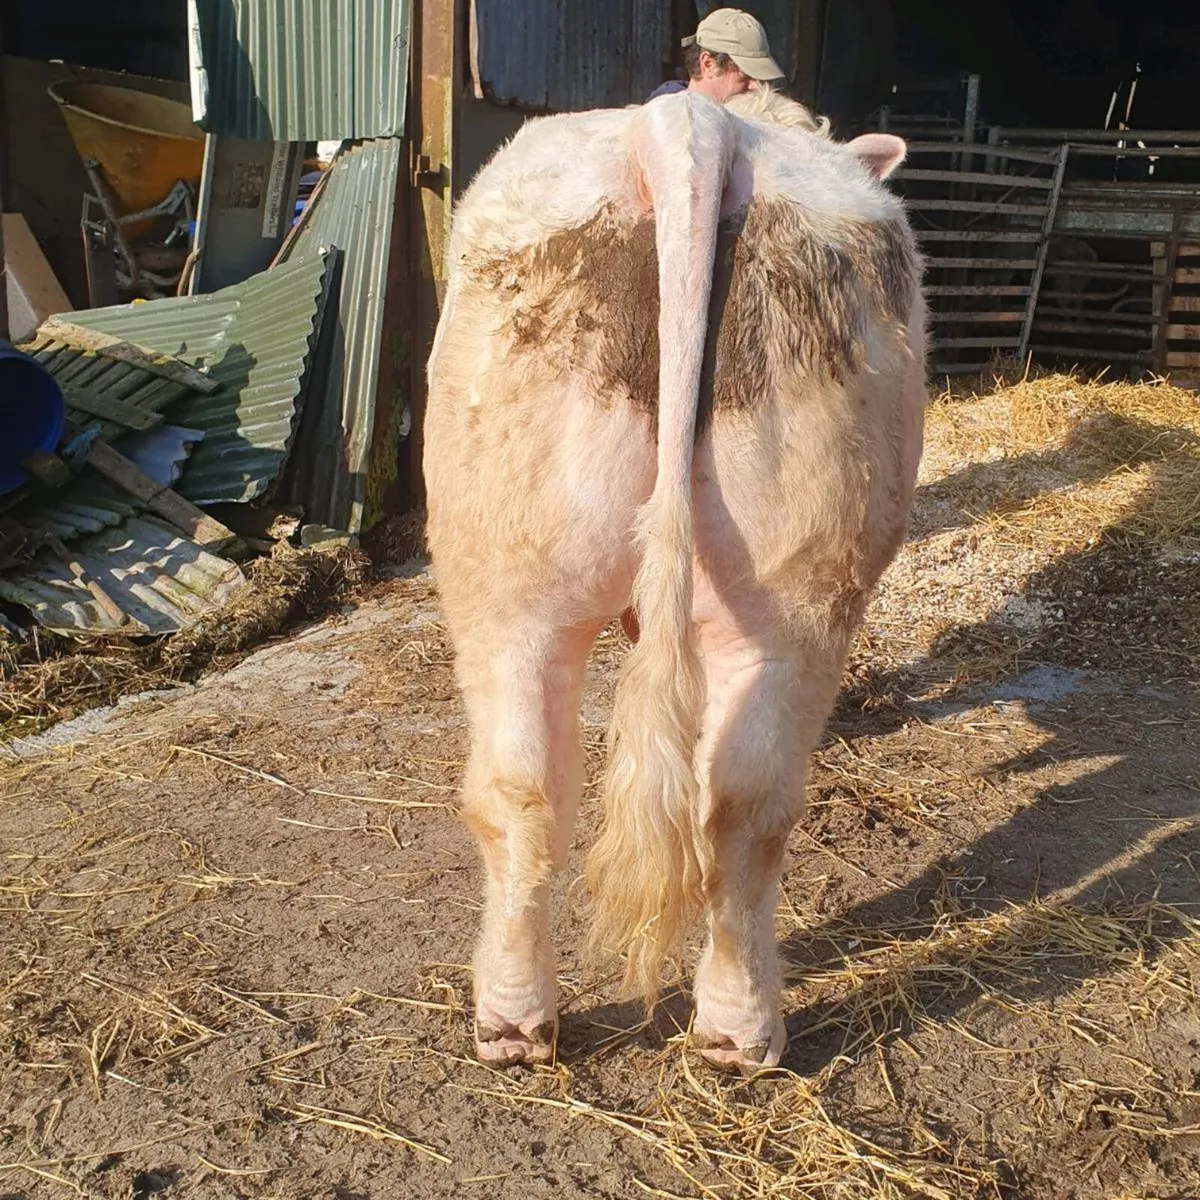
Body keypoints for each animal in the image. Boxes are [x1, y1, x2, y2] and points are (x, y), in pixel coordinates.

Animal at [423, 86, 927, 1074]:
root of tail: (691, 125)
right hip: (782, 593)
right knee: (731, 801)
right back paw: (725, 1030)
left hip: (517, 579)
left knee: (539, 787)